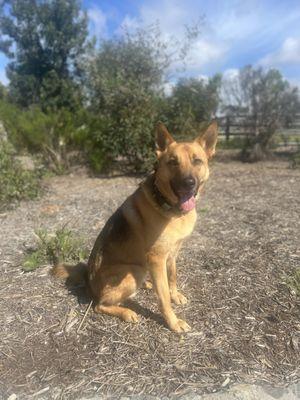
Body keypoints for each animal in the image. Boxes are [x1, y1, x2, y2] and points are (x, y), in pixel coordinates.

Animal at [52, 121, 218, 332]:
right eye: (173, 162)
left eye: (197, 161)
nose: (189, 183)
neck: (166, 204)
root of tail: (89, 280)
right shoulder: (156, 259)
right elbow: (163, 297)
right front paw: (173, 322)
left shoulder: (172, 254)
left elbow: (172, 277)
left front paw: (175, 294)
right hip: (133, 272)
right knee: (99, 305)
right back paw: (126, 312)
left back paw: (146, 285)